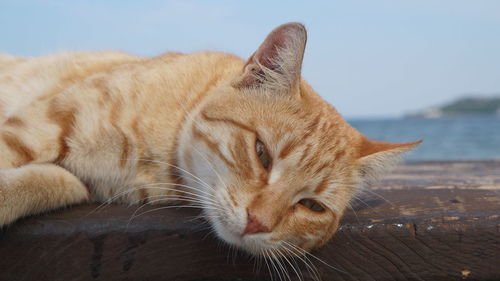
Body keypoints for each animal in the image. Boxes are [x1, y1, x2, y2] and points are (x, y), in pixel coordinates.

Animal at [0, 23, 418, 256]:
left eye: (312, 206)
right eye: (262, 154)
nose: (257, 223)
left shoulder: (77, 181)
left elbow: (40, 184)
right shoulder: (36, 124)